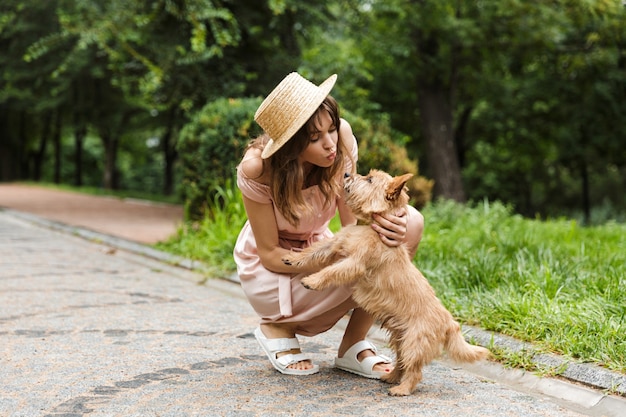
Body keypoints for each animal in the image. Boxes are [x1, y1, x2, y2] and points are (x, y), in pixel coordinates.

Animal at [282, 168, 488, 394]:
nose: (346, 173)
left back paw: (401, 389)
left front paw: (312, 280)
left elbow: (330, 271)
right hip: (400, 339)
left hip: (414, 343)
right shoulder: (335, 244)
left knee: (414, 371)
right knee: (401, 362)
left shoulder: (353, 263)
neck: (368, 226)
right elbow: (313, 251)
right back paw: (391, 378)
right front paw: (293, 258)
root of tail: (450, 322)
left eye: (369, 179)